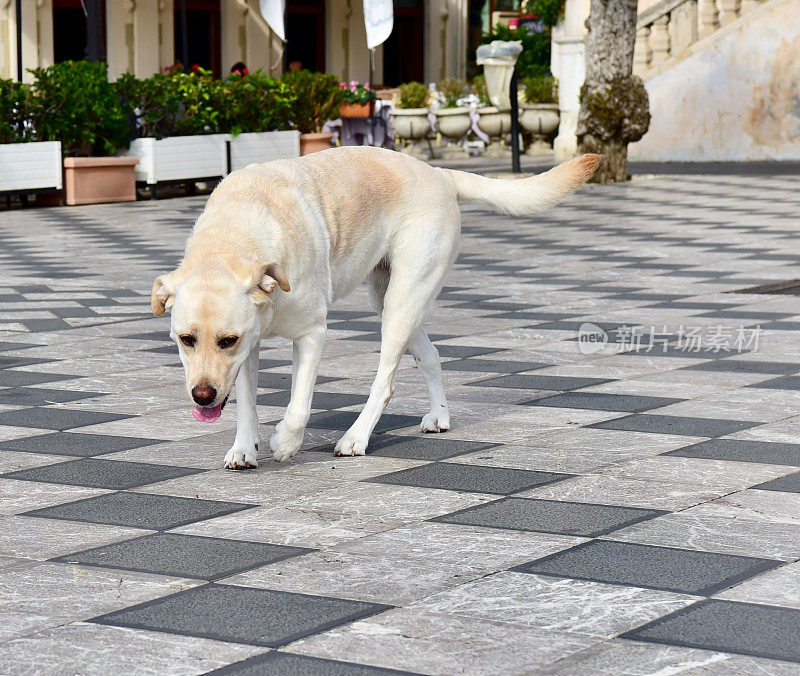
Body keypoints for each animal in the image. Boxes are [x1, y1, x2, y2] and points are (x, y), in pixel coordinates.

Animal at [153, 145, 596, 468]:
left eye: (226, 340)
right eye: (186, 339)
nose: (202, 396)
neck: (235, 236)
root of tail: (438, 172)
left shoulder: (309, 334)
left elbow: (299, 404)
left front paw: (285, 442)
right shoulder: (253, 343)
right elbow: (246, 402)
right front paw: (244, 449)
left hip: (403, 300)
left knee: (385, 382)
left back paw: (355, 438)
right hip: (390, 299)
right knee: (431, 355)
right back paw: (439, 417)